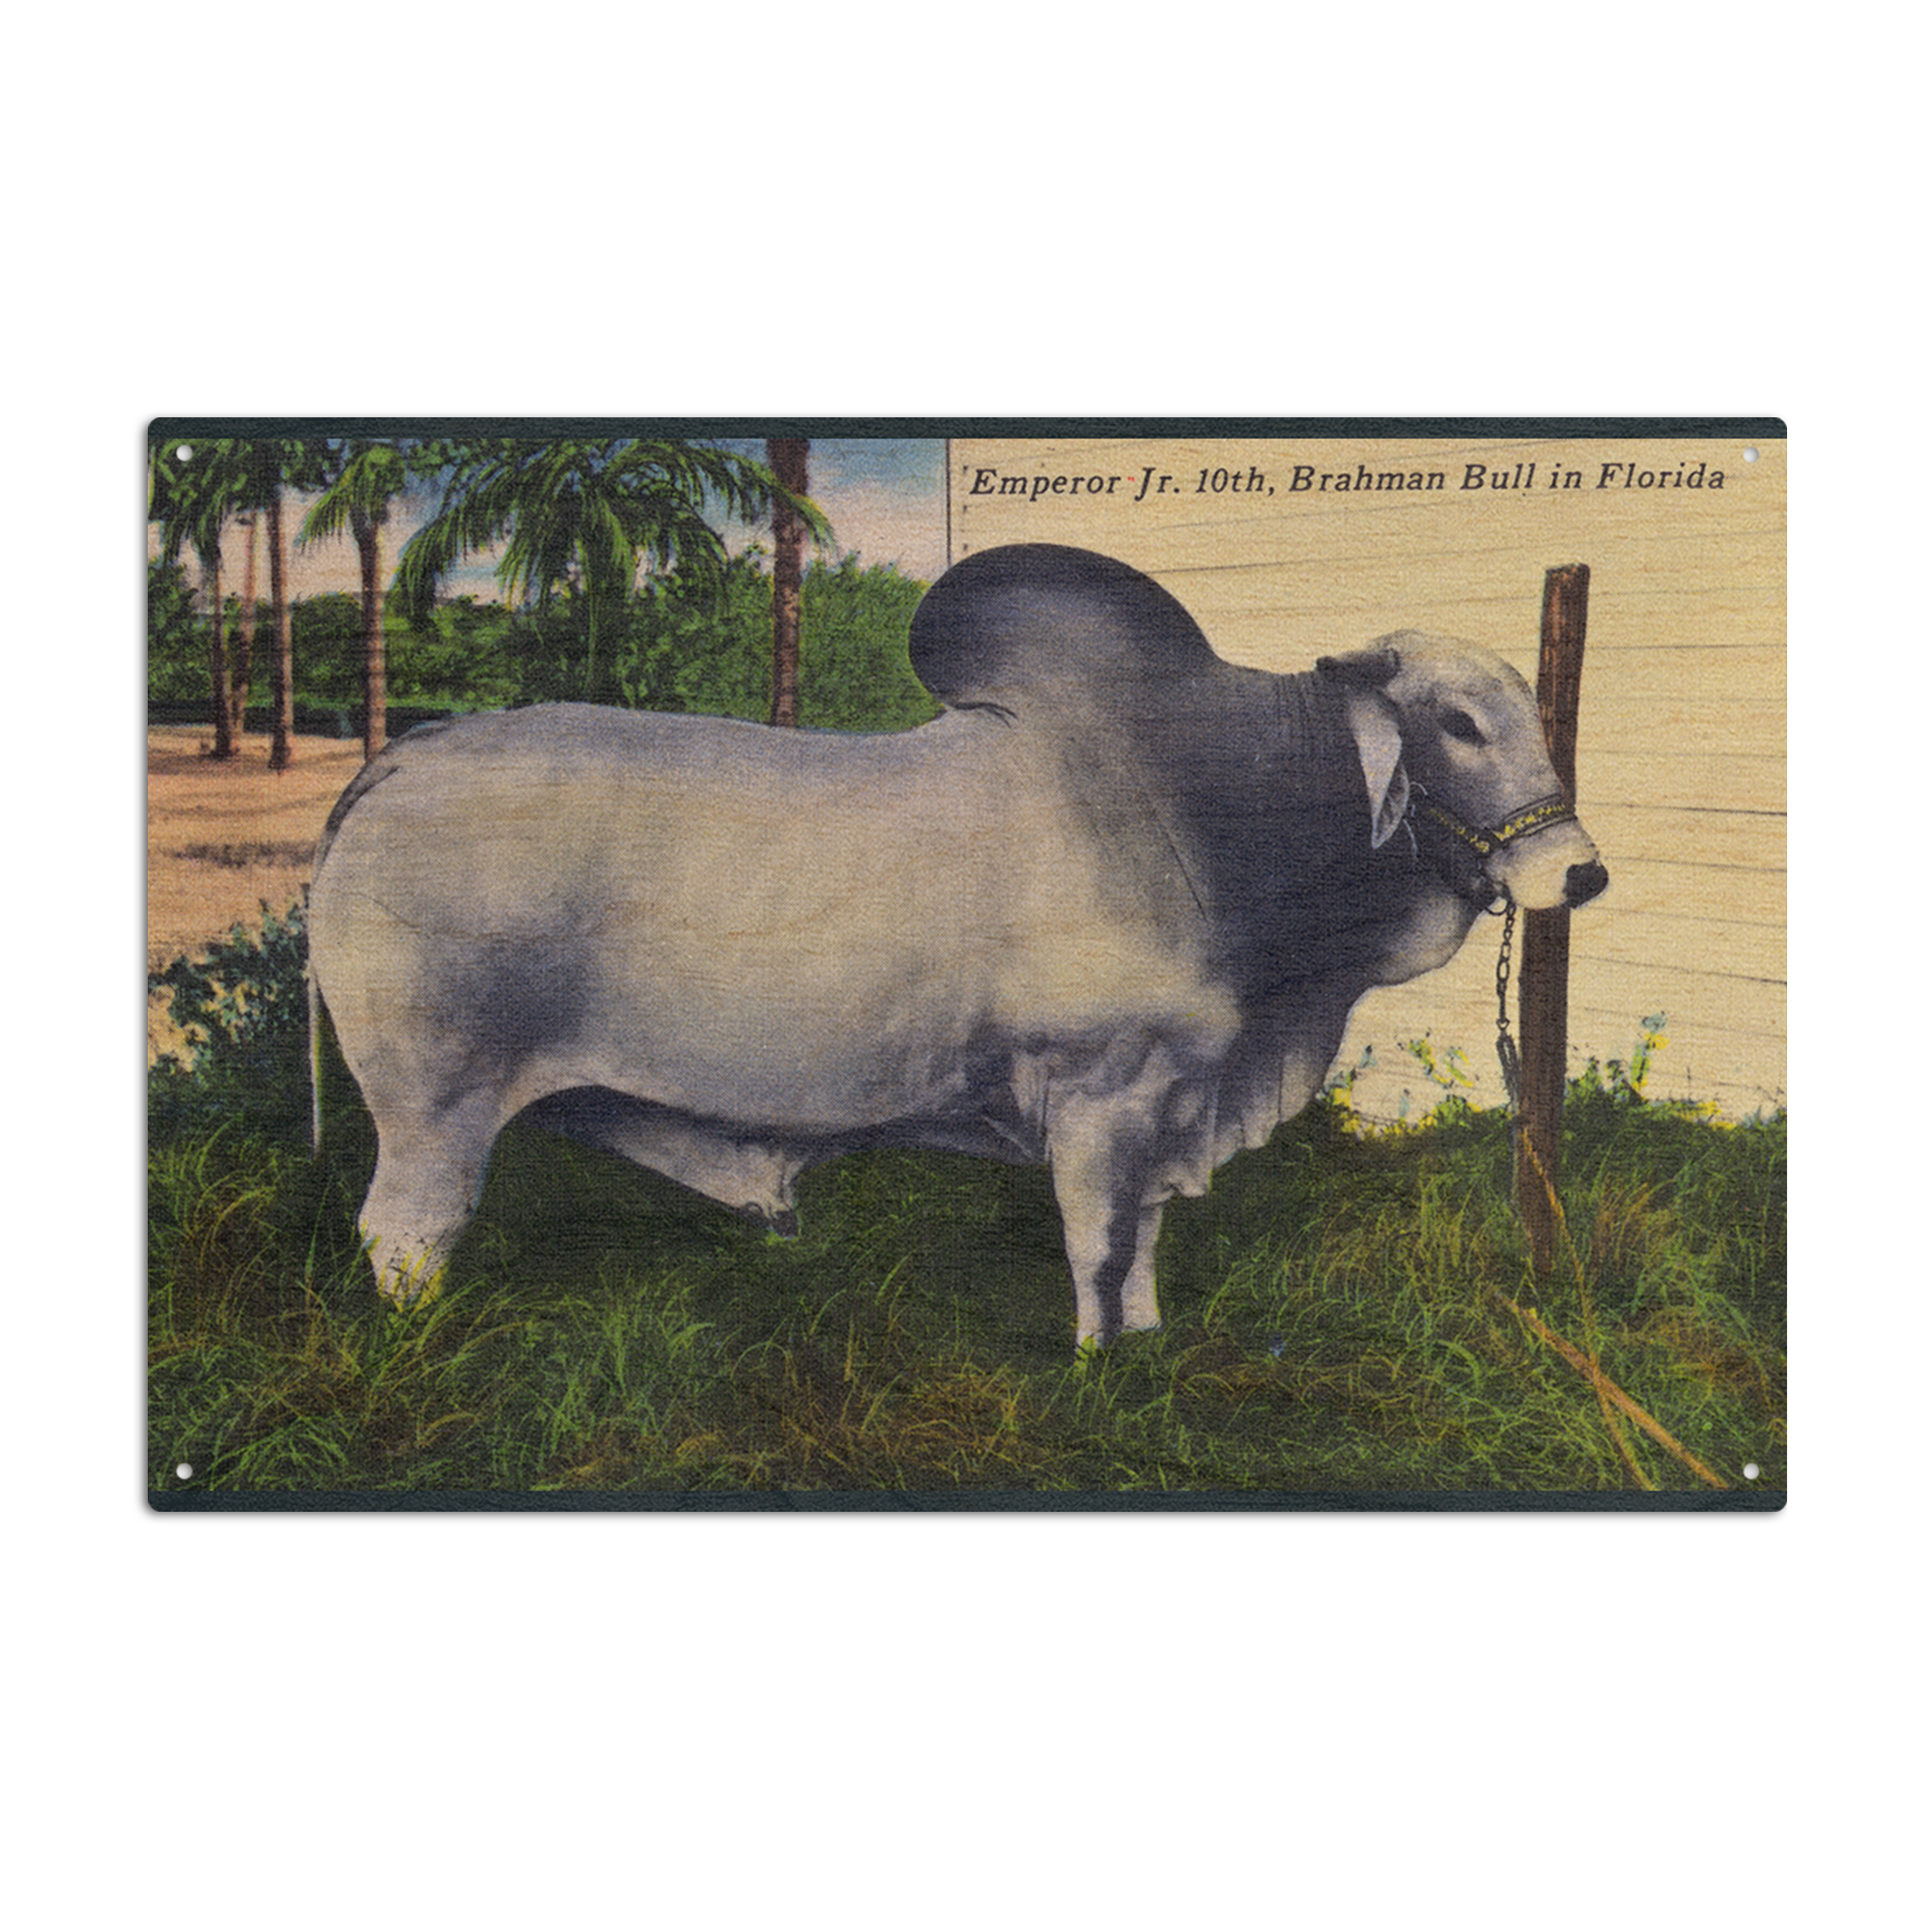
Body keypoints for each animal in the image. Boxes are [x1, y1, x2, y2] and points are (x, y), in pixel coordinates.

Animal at [307, 544, 1607, 1349]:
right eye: (1456, 721)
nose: (1580, 872)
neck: (1212, 798)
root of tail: (404, 755)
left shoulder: (1169, 1098)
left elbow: (1144, 1243)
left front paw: (1145, 1345)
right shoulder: (1101, 1092)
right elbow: (1098, 1244)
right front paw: (1096, 1366)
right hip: (431, 1102)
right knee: (406, 1234)